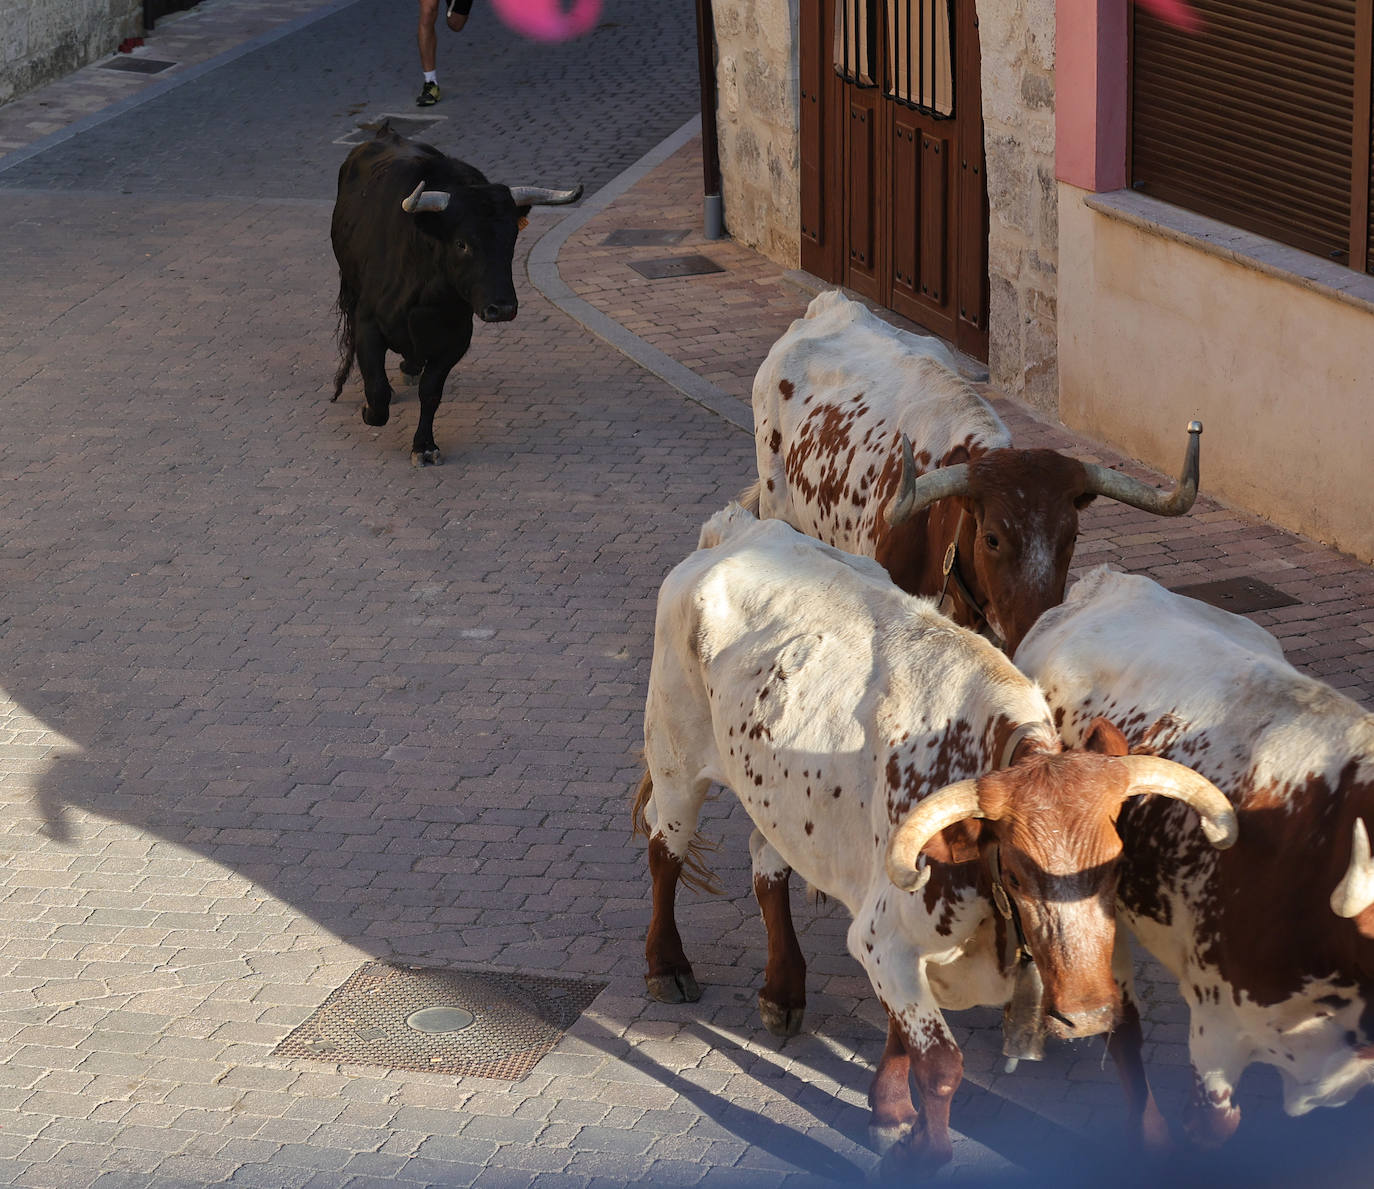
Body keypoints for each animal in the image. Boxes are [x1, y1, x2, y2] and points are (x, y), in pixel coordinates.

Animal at [331, 125, 579, 467]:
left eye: (512, 238)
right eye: (462, 243)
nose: (502, 308)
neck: (426, 296)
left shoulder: (456, 338)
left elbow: (431, 391)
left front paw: (424, 445)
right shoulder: (368, 322)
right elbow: (378, 389)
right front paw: (370, 411)